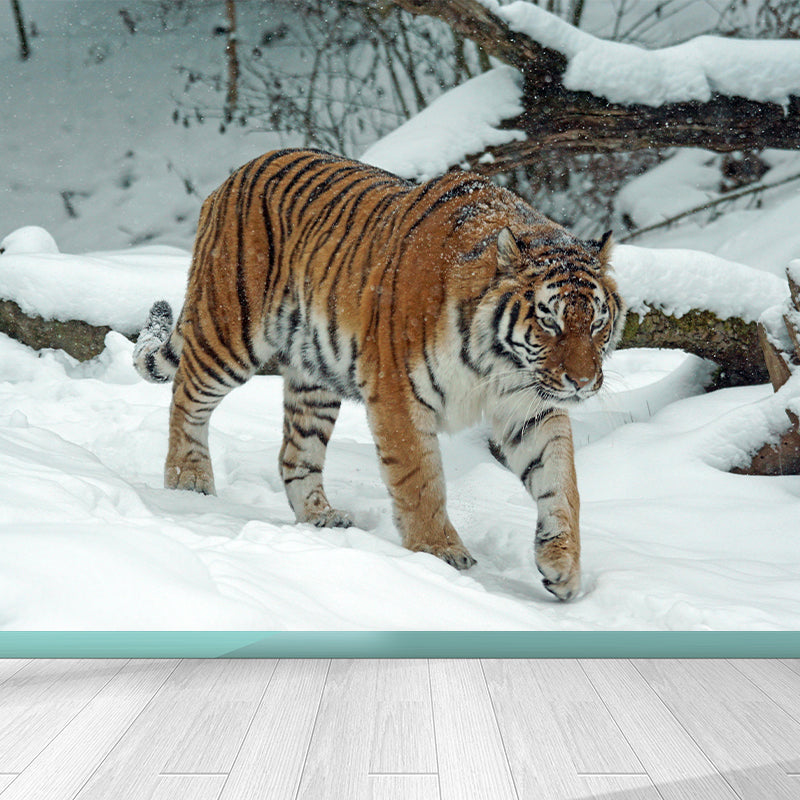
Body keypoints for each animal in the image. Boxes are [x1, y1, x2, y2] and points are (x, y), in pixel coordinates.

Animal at [133, 148, 625, 601]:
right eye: (550, 322)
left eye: (597, 323)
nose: (583, 382)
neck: (499, 363)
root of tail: (235, 174)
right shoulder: (398, 394)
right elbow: (420, 479)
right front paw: (439, 552)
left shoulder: (530, 406)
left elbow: (561, 482)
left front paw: (563, 565)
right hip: (230, 329)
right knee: (186, 397)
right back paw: (187, 481)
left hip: (314, 377)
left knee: (295, 453)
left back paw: (321, 518)